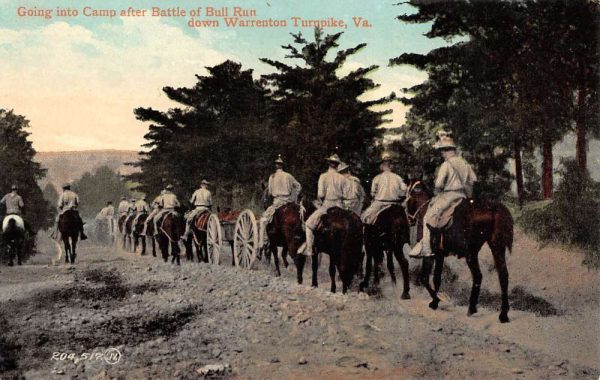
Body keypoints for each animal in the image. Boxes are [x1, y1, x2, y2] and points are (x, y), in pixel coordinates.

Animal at [408, 180, 516, 322]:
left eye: (408, 196)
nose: (410, 220)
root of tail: (493, 207)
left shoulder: (432, 255)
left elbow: (427, 278)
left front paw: (436, 301)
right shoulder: (439, 255)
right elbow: (433, 277)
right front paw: (436, 300)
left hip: (471, 253)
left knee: (478, 276)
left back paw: (472, 308)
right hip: (496, 246)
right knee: (503, 275)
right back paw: (503, 314)